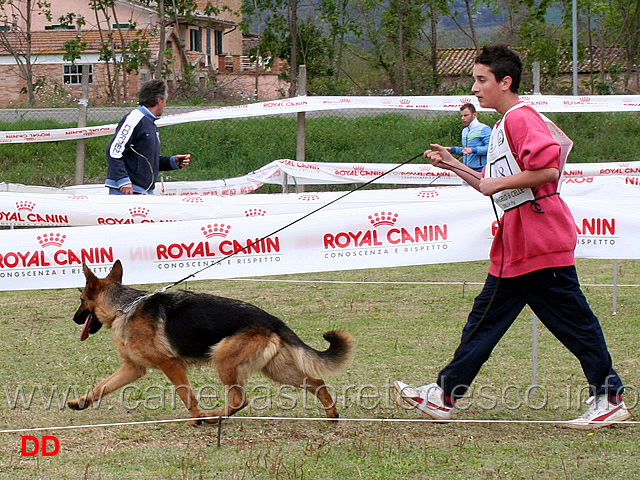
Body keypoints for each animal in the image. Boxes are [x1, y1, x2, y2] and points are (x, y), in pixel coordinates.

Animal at [70, 262, 356, 424]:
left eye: (82, 300)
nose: (74, 319)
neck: (124, 307)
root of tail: (271, 319)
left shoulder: (170, 364)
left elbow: (186, 394)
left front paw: (195, 419)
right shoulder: (133, 369)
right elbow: (102, 387)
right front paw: (80, 402)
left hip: (223, 360)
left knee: (241, 399)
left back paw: (214, 417)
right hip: (277, 370)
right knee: (317, 382)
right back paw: (332, 415)